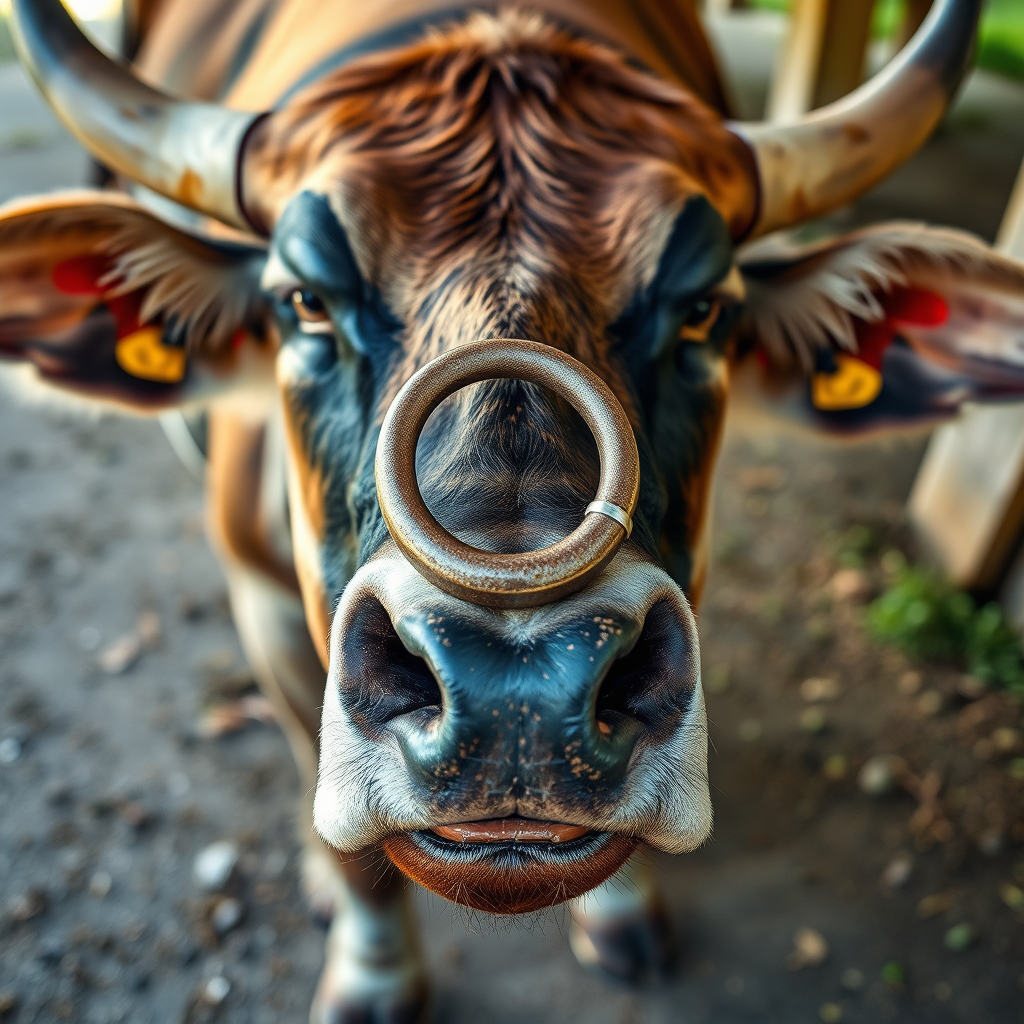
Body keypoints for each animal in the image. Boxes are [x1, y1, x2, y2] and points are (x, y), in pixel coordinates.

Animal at [3, 0, 1024, 1018]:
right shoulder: (264, 605)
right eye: (304, 299)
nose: (513, 695)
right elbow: (355, 847)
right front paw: (372, 977)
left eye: (702, 309)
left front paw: (623, 917)